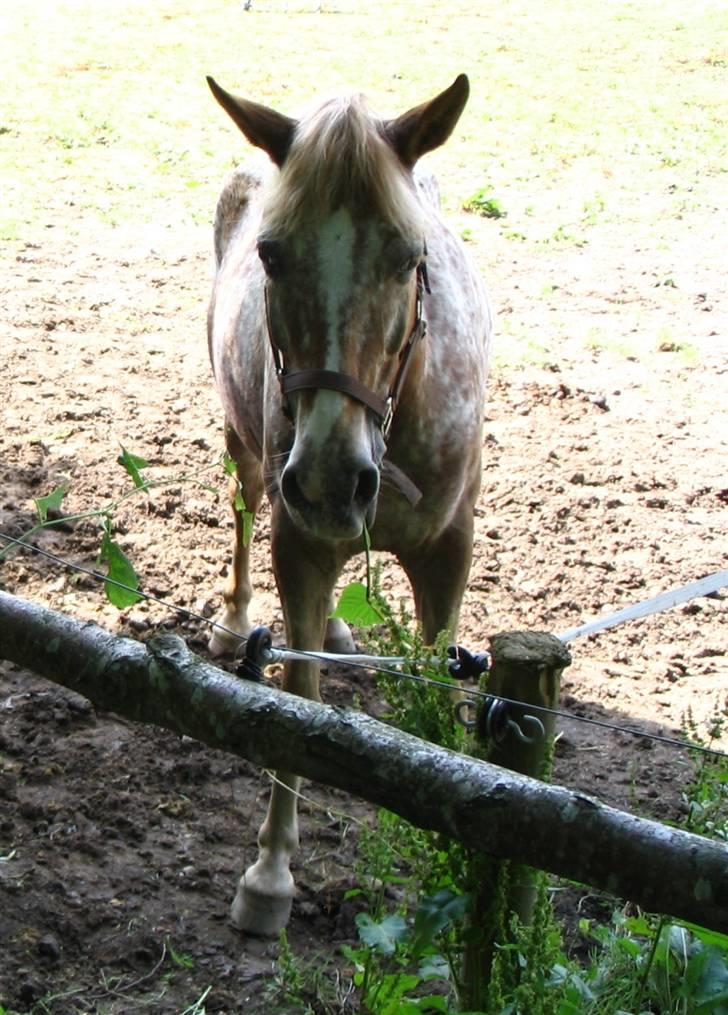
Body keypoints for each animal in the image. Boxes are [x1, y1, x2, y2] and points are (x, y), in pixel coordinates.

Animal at [202, 73, 491, 933]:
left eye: (410, 256)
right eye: (271, 252)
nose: (331, 479)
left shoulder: (448, 552)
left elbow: (439, 680)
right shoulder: (299, 544)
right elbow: (298, 699)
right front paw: (270, 872)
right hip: (245, 451)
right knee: (242, 508)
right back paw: (234, 621)